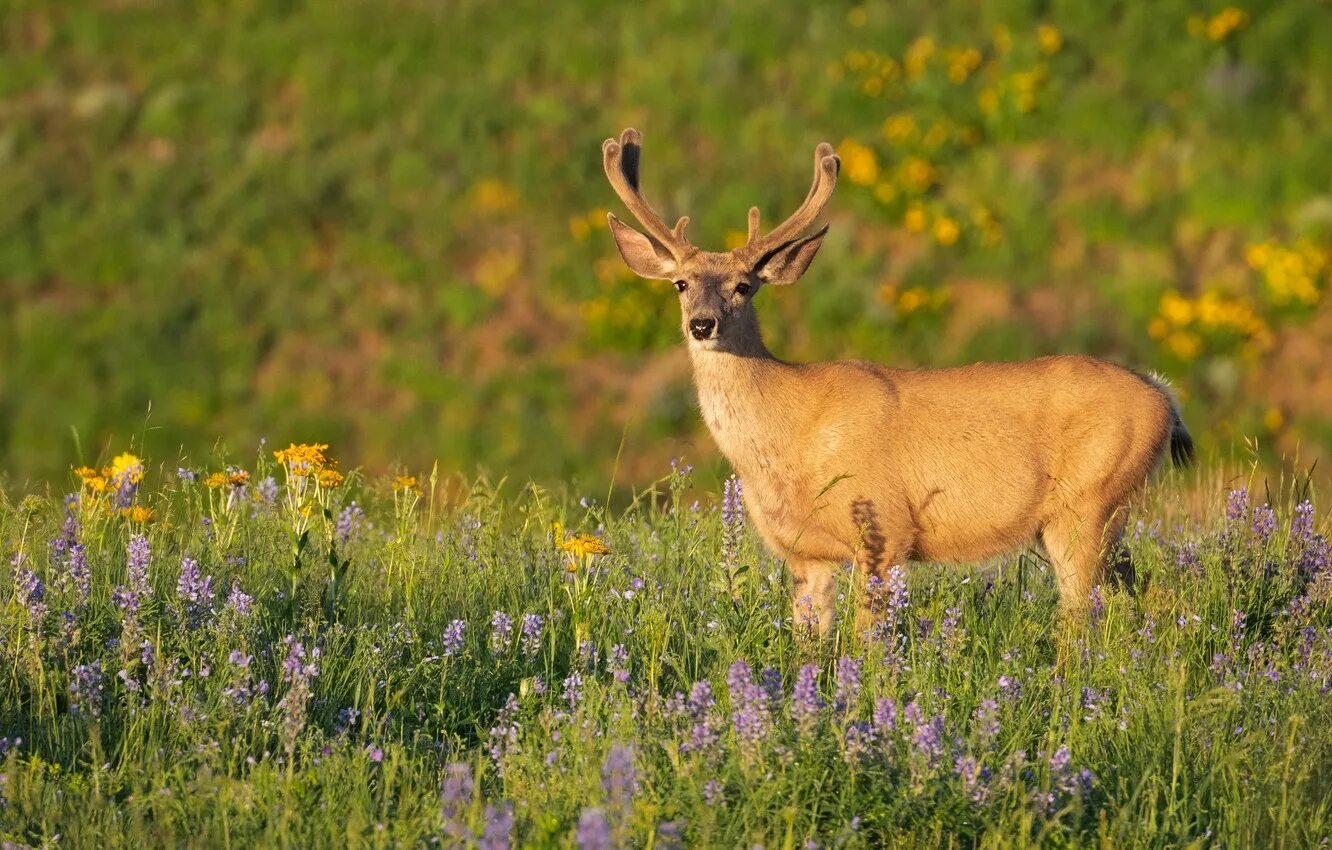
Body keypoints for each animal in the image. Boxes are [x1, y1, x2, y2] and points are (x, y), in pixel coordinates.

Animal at [599, 126, 1193, 634]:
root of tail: (1164, 396)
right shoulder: (805, 553)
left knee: (1086, 613)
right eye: (680, 283)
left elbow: (866, 642)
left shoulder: (883, 528)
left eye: (744, 286)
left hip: (1087, 502)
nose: (703, 324)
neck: (789, 431)